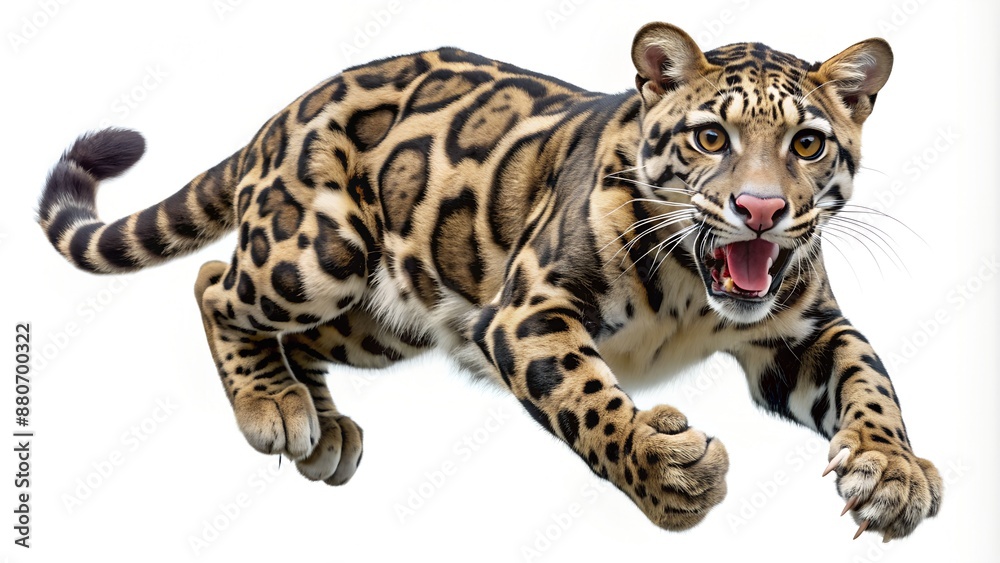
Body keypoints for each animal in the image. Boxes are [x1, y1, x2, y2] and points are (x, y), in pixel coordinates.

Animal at [37, 22, 942, 540]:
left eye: (807, 145)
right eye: (710, 137)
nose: (759, 209)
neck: (693, 285)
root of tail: (282, 112)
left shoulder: (807, 331)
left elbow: (872, 384)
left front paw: (890, 474)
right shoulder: (527, 311)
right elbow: (587, 398)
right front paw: (663, 469)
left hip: (382, 316)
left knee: (290, 325)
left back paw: (320, 422)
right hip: (317, 254)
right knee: (214, 280)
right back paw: (273, 405)